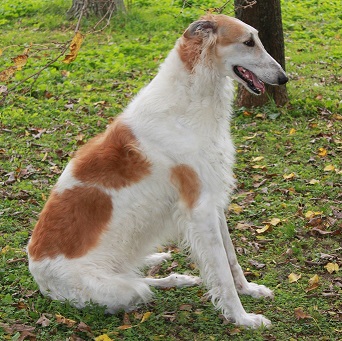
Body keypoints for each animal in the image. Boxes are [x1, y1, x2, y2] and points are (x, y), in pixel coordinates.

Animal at [27, 13, 288, 326]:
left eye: (257, 38)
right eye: (248, 42)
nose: (284, 78)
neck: (185, 105)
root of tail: (35, 269)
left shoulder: (212, 198)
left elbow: (232, 258)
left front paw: (249, 290)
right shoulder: (199, 207)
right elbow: (222, 273)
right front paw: (242, 318)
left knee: (139, 274)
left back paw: (169, 269)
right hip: (118, 290)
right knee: (139, 285)